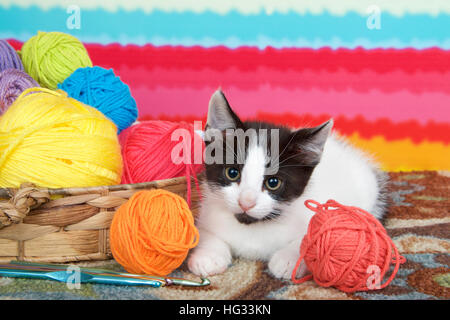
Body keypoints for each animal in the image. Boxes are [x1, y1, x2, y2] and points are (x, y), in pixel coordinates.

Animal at [188, 89, 388, 278]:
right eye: (232, 173)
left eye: (273, 182)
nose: (246, 202)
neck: (253, 225)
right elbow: (204, 232)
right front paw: (208, 256)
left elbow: (316, 235)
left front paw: (288, 259)